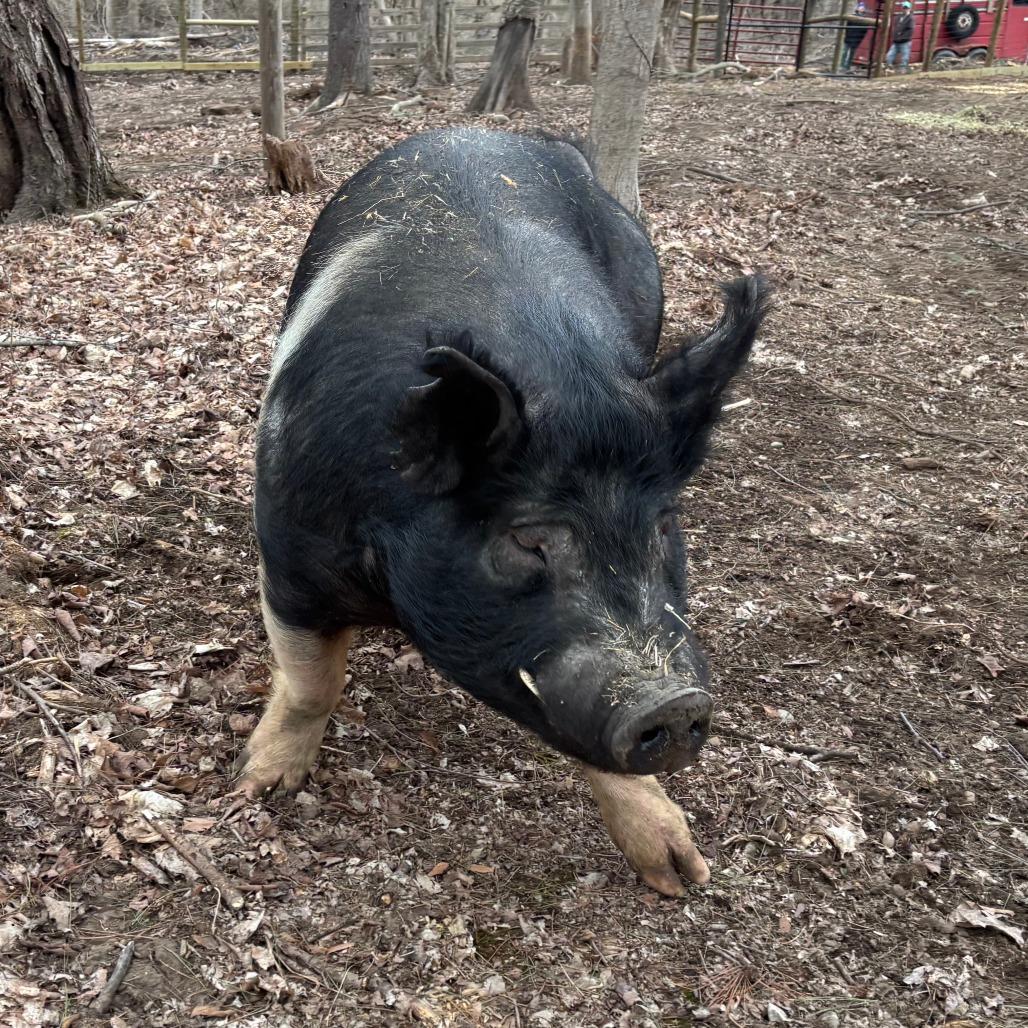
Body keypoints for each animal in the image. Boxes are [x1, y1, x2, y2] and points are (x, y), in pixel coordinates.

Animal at [238, 128, 770, 897]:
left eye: (664, 524)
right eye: (525, 539)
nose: (673, 704)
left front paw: (680, 873)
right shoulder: (288, 559)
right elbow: (314, 684)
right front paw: (256, 785)